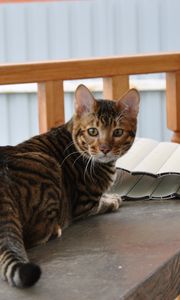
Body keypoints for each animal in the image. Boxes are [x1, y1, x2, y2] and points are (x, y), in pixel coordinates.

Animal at [0, 84, 139, 288]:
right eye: (92, 131)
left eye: (118, 132)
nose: (105, 149)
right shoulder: (84, 204)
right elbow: (102, 203)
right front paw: (112, 199)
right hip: (48, 165)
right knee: (34, 236)